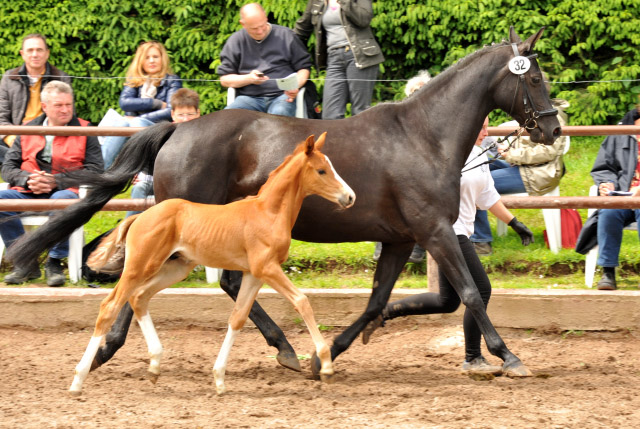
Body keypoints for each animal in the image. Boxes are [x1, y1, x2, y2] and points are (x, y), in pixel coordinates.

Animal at [72, 133, 358, 394]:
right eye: (321, 170)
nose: (350, 197)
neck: (269, 212)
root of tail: (140, 216)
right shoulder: (267, 268)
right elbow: (302, 301)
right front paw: (326, 365)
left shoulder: (254, 274)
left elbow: (238, 318)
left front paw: (219, 378)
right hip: (140, 266)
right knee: (110, 306)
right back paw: (78, 379)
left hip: (175, 268)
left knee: (139, 297)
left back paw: (154, 366)